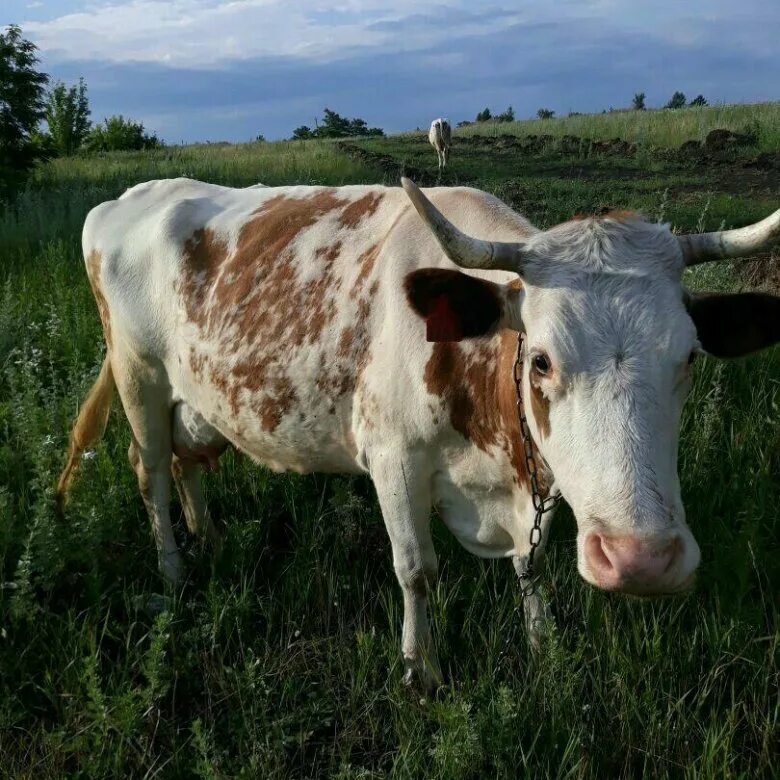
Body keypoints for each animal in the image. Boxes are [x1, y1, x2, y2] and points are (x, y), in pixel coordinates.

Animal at [56, 175, 780, 684]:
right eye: (542, 359)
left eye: (688, 358)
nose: (642, 561)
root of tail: (125, 199)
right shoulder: (394, 459)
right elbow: (417, 570)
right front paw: (421, 668)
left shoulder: (531, 482)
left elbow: (532, 564)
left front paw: (543, 647)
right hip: (139, 377)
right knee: (150, 469)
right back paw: (174, 568)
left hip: (195, 401)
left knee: (186, 465)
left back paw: (205, 533)